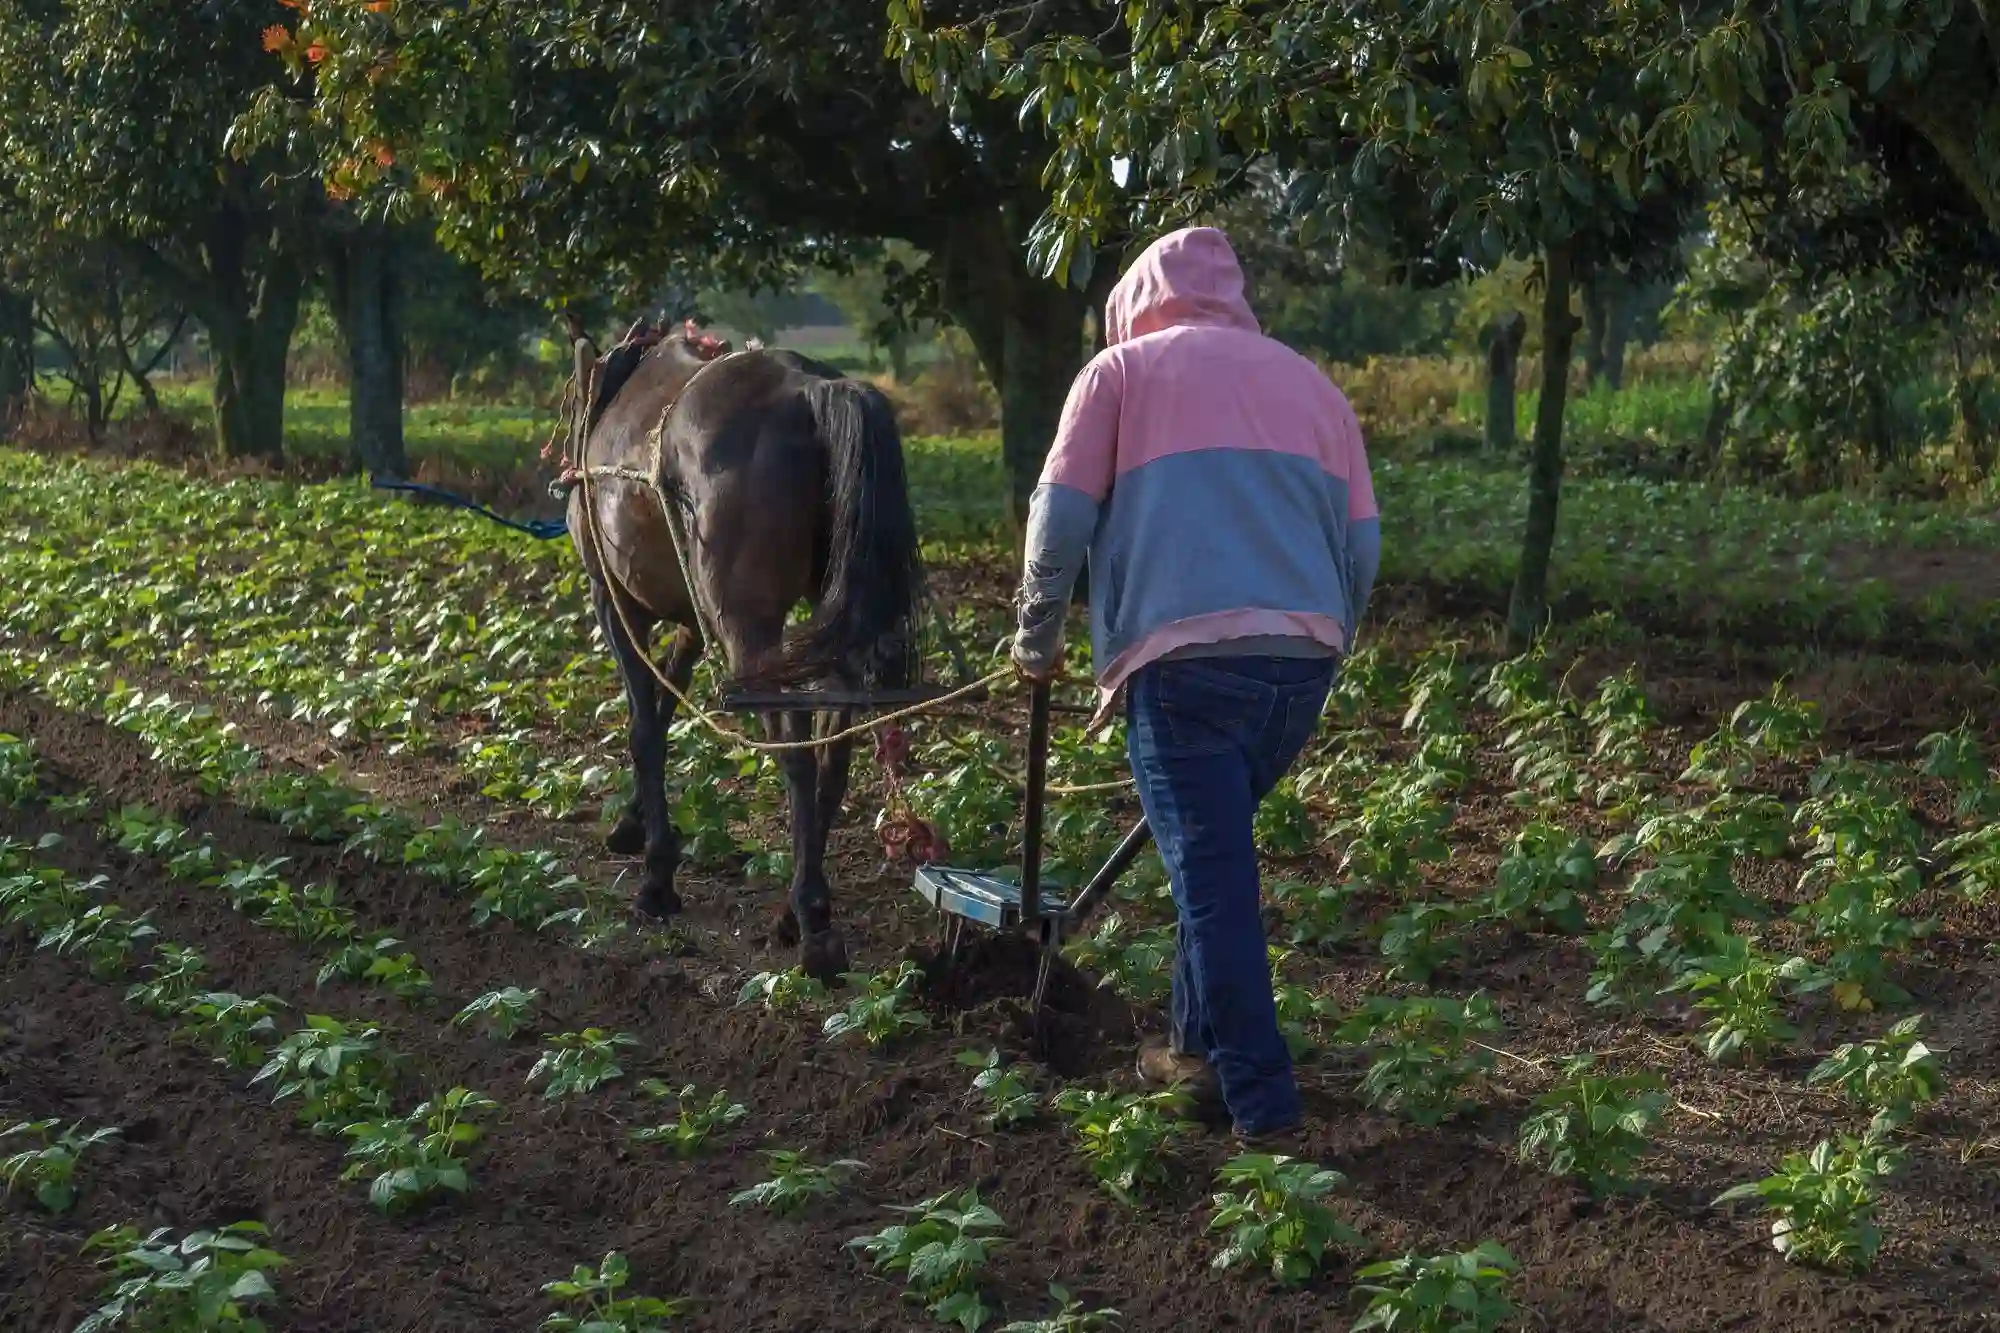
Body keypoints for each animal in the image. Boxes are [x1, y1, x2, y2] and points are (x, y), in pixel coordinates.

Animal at [568, 316, 924, 972]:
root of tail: (812, 389)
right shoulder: (690, 619)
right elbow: (663, 711)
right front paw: (635, 825)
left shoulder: (615, 601)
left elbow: (642, 726)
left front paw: (657, 875)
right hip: (824, 622)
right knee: (832, 751)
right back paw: (795, 908)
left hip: (747, 630)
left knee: (795, 750)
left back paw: (811, 922)